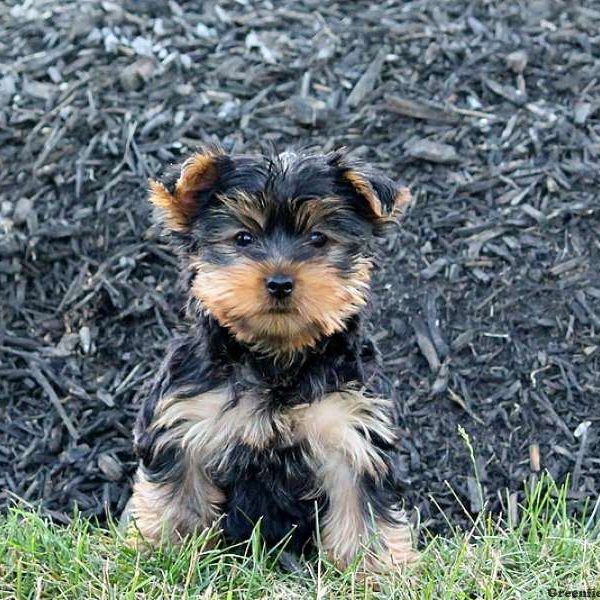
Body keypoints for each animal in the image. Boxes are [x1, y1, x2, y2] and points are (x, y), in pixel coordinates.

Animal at [130, 148, 418, 568]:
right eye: (243, 238)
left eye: (318, 238)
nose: (280, 282)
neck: (276, 360)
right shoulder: (186, 421)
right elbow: (176, 499)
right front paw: (165, 557)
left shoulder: (350, 430)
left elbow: (363, 512)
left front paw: (373, 570)